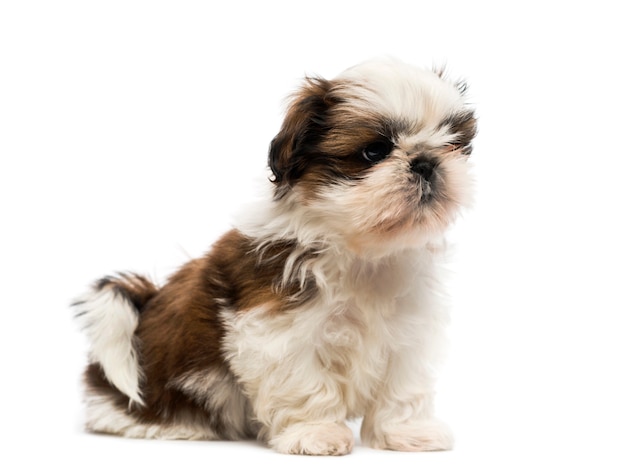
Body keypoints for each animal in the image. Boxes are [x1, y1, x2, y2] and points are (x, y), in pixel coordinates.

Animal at [72, 59, 472, 456]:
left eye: (453, 143)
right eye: (374, 151)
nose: (426, 161)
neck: (362, 251)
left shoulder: (409, 330)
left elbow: (404, 385)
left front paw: (409, 431)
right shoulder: (279, 329)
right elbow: (305, 382)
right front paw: (315, 433)